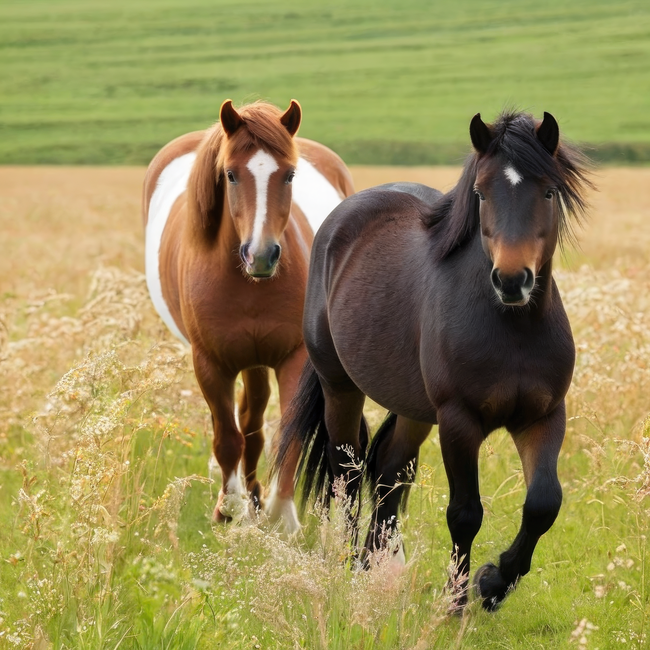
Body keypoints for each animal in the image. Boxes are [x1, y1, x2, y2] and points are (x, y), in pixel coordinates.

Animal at [142, 98, 354, 528]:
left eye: (290, 174)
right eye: (230, 175)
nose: (262, 255)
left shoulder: (293, 358)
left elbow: (285, 434)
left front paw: (281, 513)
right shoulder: (209, 363)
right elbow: (227, 437)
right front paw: (229, 508)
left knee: (254, 420)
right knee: (243, 424)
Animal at [274, 110, 592, 608]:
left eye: (548, 191)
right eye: (481, 193)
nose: (512, 280)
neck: (514, 329)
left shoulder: (543, 416)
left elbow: (543, 503)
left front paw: (493, 584)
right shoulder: (458, 420)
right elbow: (465, 513)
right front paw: (457, 600)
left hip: (414, 408)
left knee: (389, 469)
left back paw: (375, 563)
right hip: (340, 386)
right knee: (347, 470)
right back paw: (348, 562)